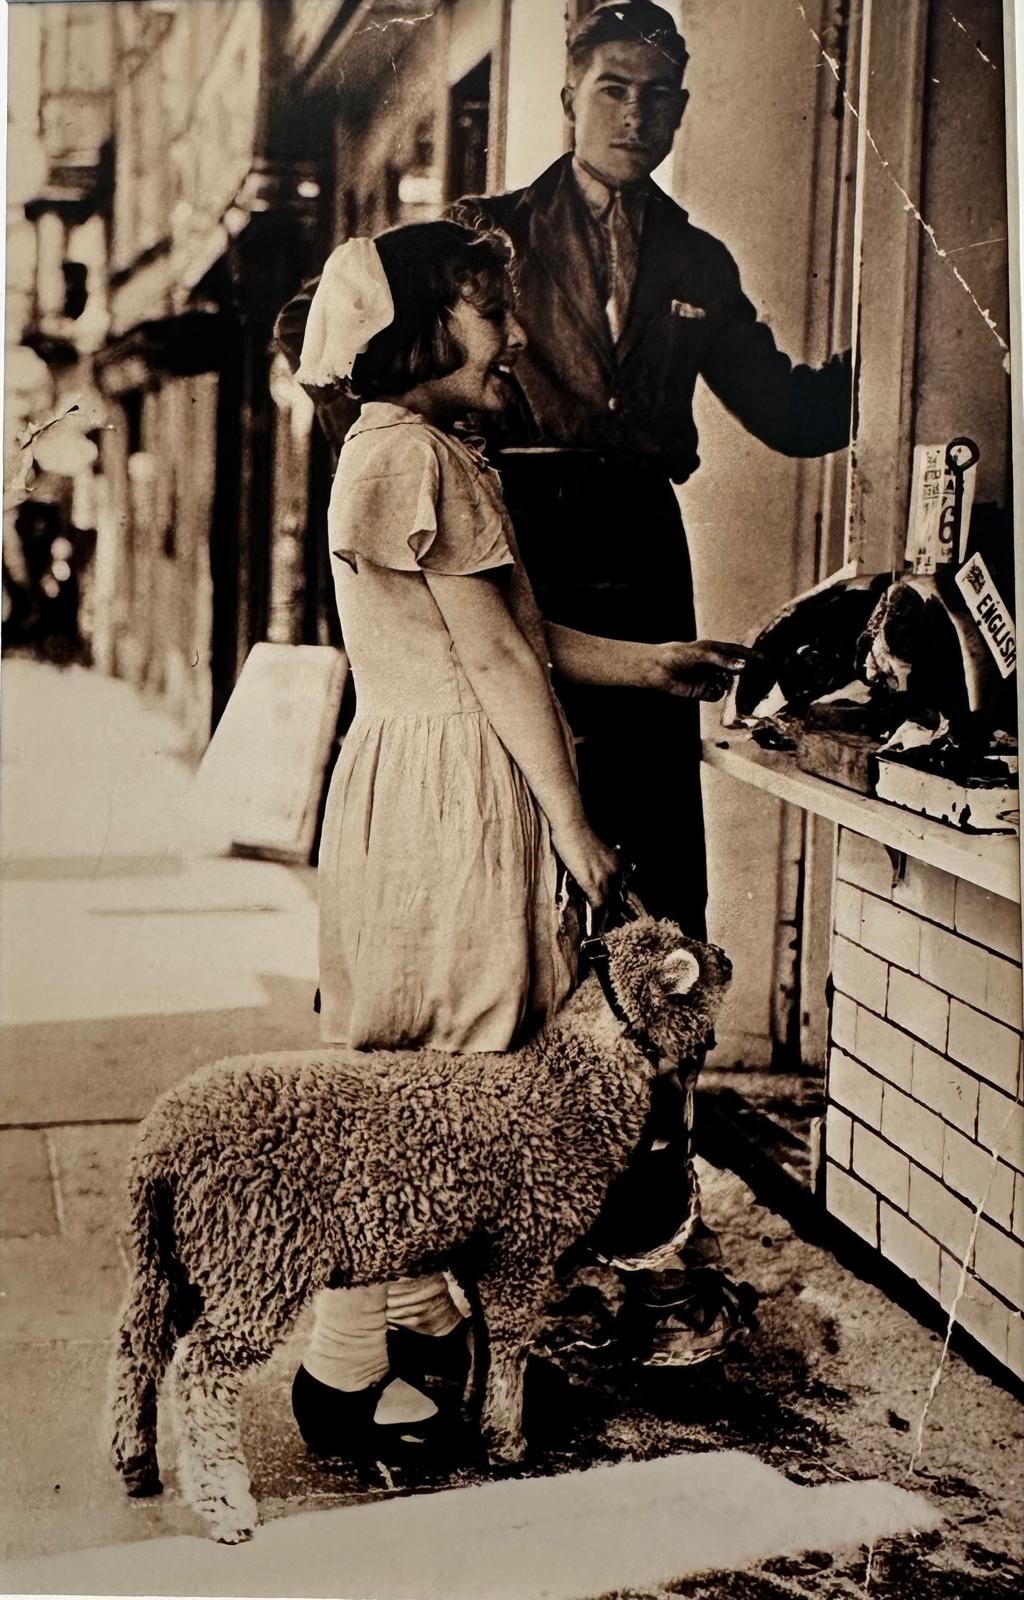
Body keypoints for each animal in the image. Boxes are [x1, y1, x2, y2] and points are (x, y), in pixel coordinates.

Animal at [110, 921, 729, 1542]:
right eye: (694, 963)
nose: (725, 958)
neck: (564, 1089)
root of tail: (162, 1143)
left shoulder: (477, 1249)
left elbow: (482, 1333)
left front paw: (476, 1411)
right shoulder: (521, 1246)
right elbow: (508, 1339)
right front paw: (507, 1443)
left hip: (175, 1255)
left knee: (138, 1344)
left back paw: (134, 1461)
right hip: (257, 1254)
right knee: (202, 1367)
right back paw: (224, 1505)